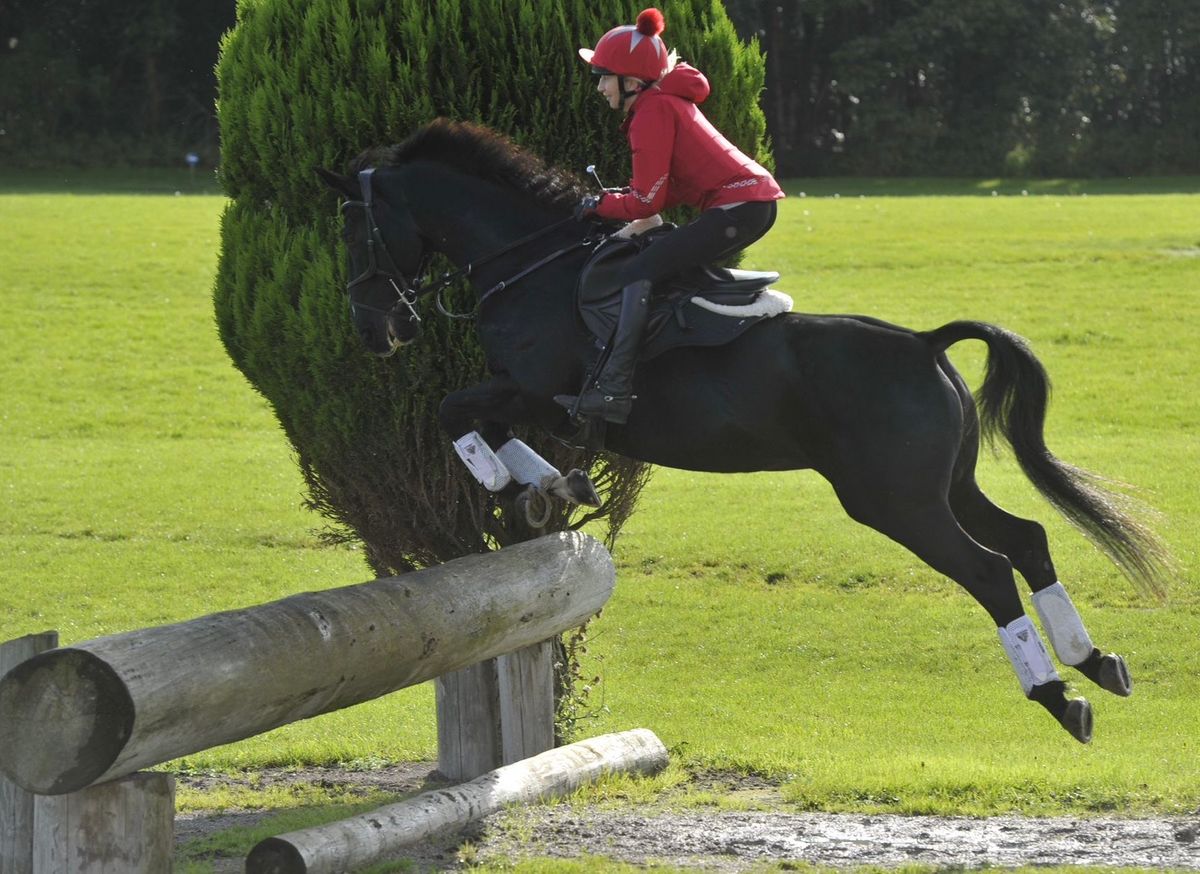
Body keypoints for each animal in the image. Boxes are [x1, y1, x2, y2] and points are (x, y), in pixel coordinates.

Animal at [316, 117, 1161, 744]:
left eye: (354, 229)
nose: (374, 328)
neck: (531, 266)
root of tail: (924, 344)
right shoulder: (529, 398)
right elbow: (483, 424)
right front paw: (552, 486)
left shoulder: (540, 391)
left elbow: (456, 412)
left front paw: (521, 484)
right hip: (943, 486)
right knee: (1027, 540)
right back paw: (1095, 661)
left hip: (895, 502)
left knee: (989, 569)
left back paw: (1058, 695)